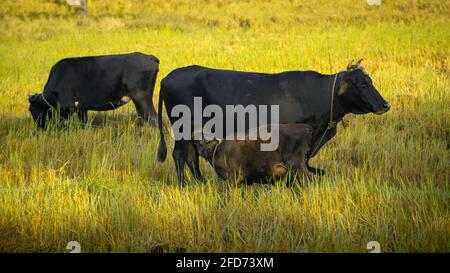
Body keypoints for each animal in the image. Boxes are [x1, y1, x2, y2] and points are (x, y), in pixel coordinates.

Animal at [27, 52, 158, 127]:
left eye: (32, 110)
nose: (38, 128)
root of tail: (151, 57)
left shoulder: (66, 107)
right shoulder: (81, 108)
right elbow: (83, 124)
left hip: (142, 97)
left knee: (153, 118)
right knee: (144, 118)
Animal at [158, 59, 390, 187]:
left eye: (370, 81)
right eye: (362, 84)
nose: (385, 105)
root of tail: (170, 75)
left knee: (191, 156)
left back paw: (200, 183)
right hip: (182, 129)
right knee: (180, 155)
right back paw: (184, 186)